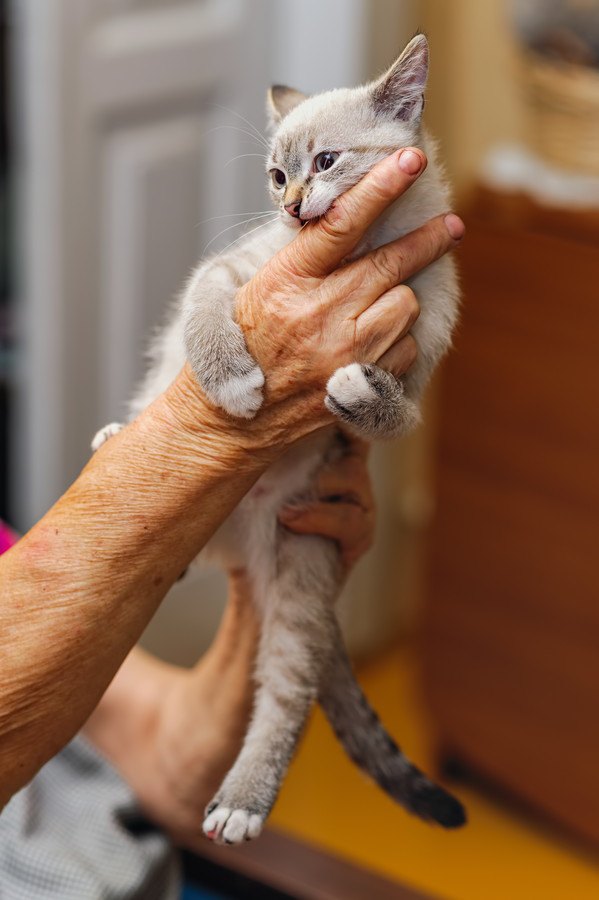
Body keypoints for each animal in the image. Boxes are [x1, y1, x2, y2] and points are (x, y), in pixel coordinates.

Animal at [96, 31, 466, 840]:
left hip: (300, 563)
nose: (294, 207)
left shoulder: (418, 363)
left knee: (288, 694)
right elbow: (207, 317)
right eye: (275, 175)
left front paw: (353, 390)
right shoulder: (234, 272)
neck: (358, 255)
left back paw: (239, 804)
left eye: (324, 162)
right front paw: (236, 382)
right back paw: (117, 438)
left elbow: (392, 411)